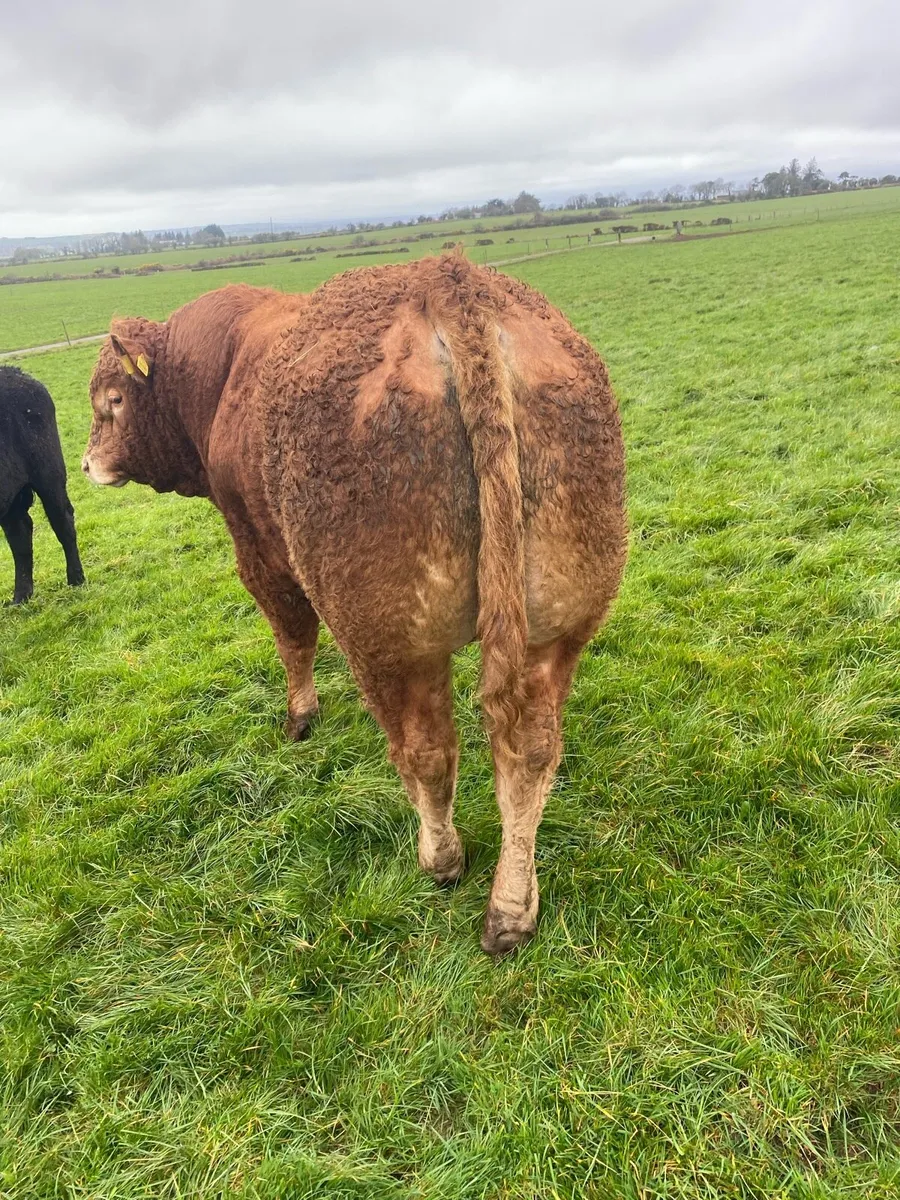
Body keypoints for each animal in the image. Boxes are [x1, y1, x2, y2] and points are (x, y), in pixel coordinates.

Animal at [82, 252, 626, 954]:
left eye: (112, 401)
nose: (87, 464)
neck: (220, 375)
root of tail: (448, 281)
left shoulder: (260, 551)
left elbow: (292, 634)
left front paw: (300, 718)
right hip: (554, 624)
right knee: (530, 750)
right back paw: (512, 906)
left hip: (389, 636)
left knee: (427, 749)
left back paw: (440, 860)